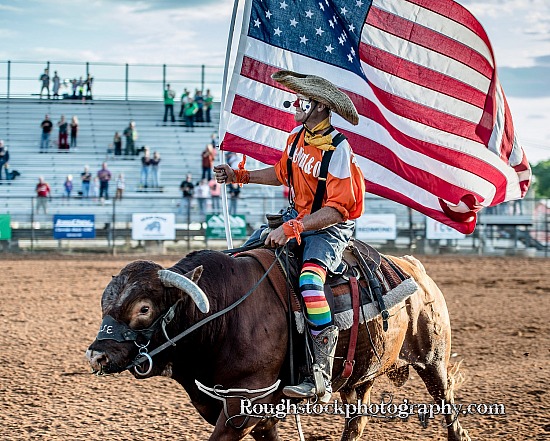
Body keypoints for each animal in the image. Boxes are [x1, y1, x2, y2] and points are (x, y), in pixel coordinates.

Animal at [86, 249, 470, 438]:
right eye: (104, 302)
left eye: (144, 308)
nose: (97, 355)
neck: (224, 314)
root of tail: (416, 269)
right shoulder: (247, 411)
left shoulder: (243, 406)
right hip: (358, 377)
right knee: (356, 422)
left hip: (432, 359)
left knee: (447, 403)